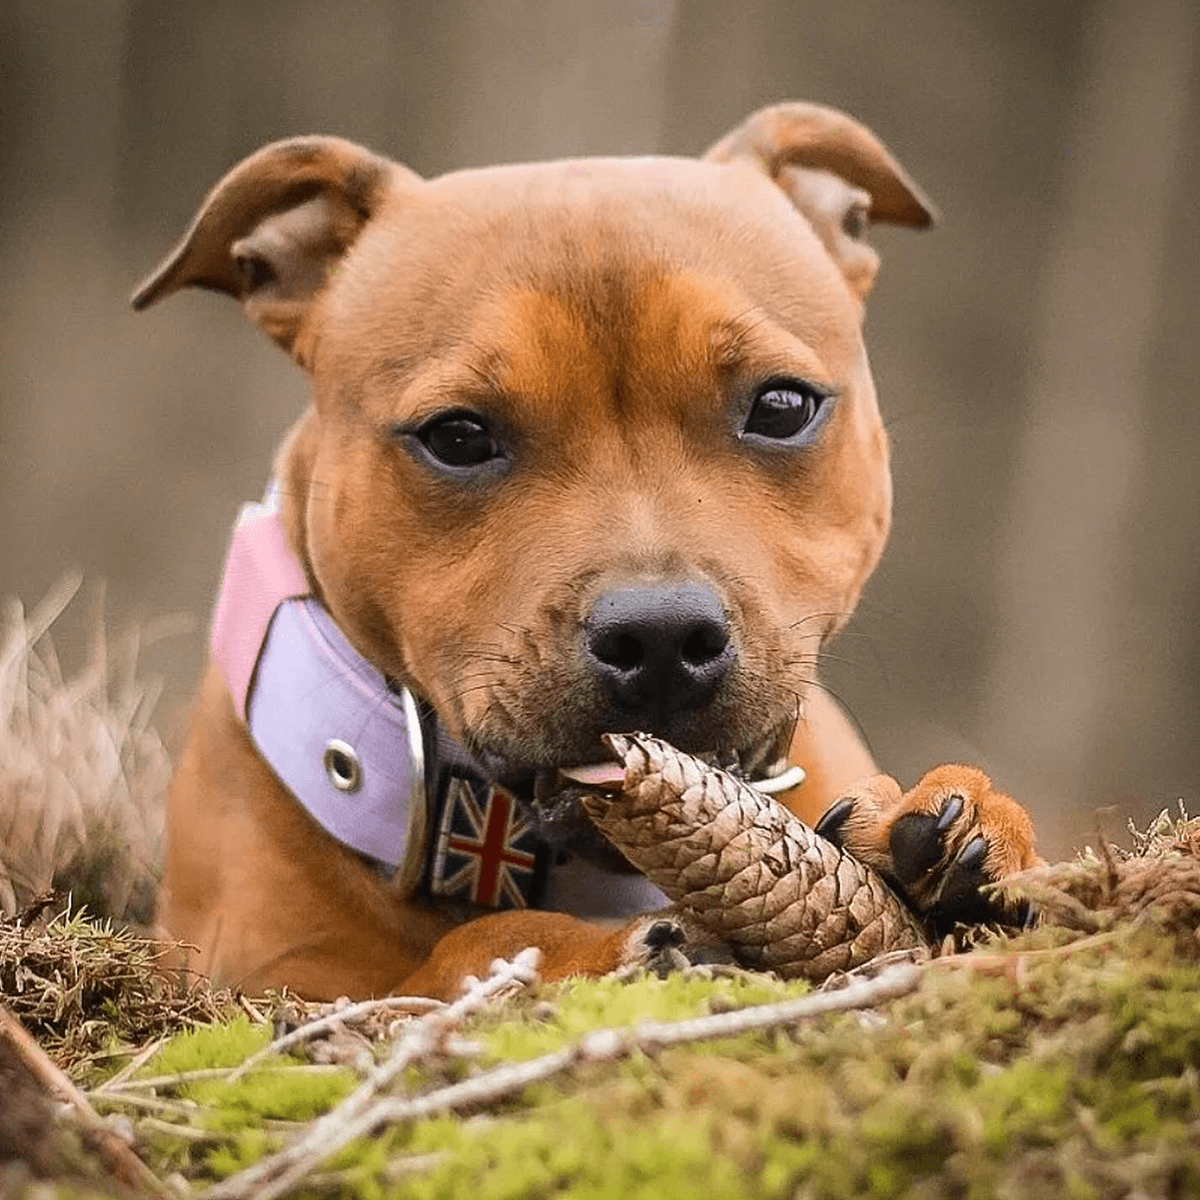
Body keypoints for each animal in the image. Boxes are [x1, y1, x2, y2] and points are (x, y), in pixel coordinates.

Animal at [133, 103, 1041, 1003]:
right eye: (456, 436)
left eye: (782, 406)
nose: (662, 636)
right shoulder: (271, 982)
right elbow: (470, 943)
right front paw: (597, 948)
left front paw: (967, 831)